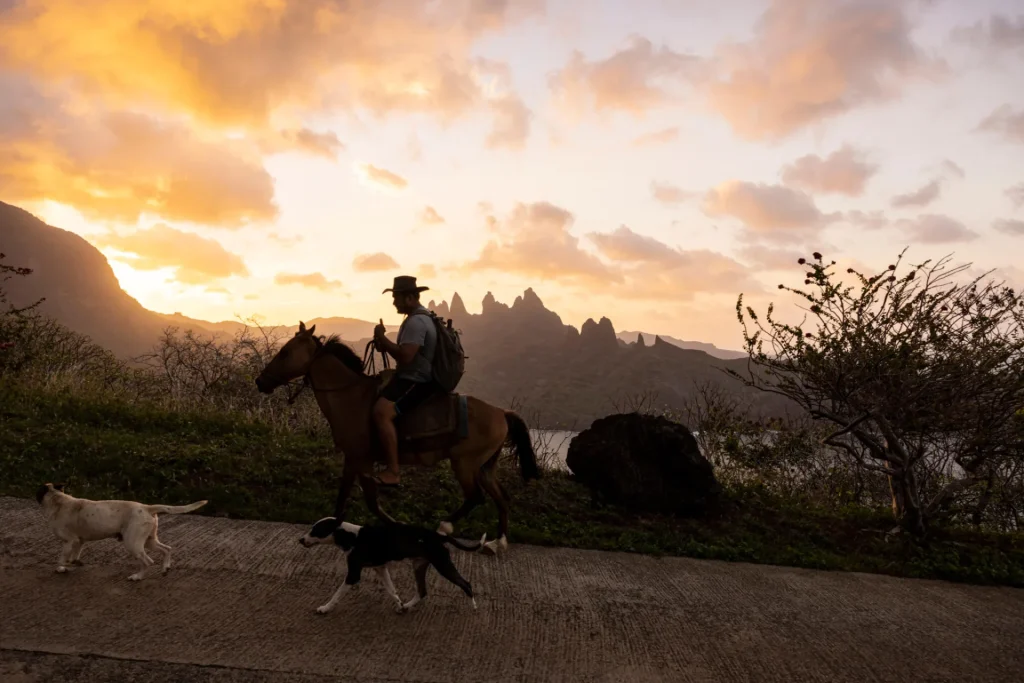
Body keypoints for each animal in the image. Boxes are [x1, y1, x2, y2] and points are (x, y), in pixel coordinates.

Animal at [36, 481, 207, 581]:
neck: (58, 500)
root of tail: (147, 507)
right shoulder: (79, 541)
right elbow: (74, 554)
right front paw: (74, 562)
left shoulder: (68, 541)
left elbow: (62, 557)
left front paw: (60, 568)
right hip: (148, 541)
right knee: (167, 549)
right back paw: (165, 568)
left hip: (132, 543)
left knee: (148, 561)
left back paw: (137, 577)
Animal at [252, 321, 540, 557]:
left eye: (285, 352)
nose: (260, 381)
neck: (351, 397)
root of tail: (502, 413)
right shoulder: (354, 459)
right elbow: (347, 499)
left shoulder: (361, 460)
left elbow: (367, 501)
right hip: (484, 466)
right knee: (501, 497)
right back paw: (498, 543)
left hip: (465, 464)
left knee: (476, 497)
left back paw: (445, 527)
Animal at [299, 518, 485, 614]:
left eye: (315, 530)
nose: (300, 540)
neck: (352, 537)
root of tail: (439, 536)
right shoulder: (381, 568)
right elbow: (392, 590)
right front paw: (400, 604)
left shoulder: (353, 574)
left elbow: (337, 594)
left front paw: (325, 607)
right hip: (419, 566)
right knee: (422, 591)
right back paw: (408, 606)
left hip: (443, 565)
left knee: (466, 584)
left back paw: (474, 606)